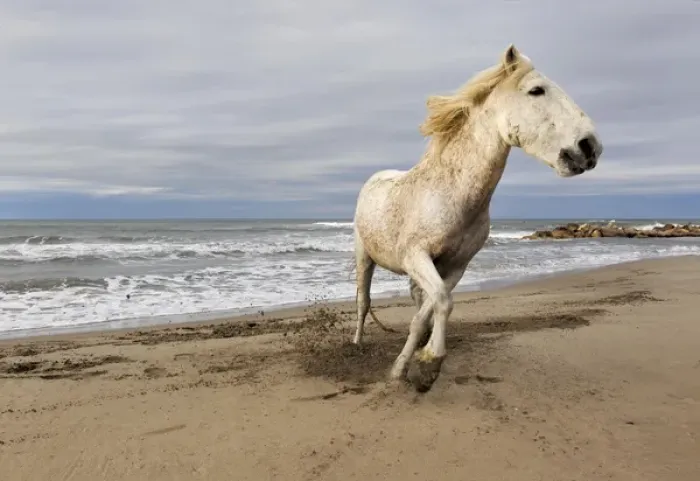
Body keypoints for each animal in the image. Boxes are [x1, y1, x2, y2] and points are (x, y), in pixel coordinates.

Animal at [352, 44, 603, 393]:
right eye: (536, 90)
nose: (590, 147)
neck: (452, 192)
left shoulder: (456, 266)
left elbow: (432, 308)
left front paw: (417, 361)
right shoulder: (416, 256)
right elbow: (441, 302)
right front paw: (424, 366)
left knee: (416, 297)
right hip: (364, 256)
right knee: (363, 302)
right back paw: (356, 344)